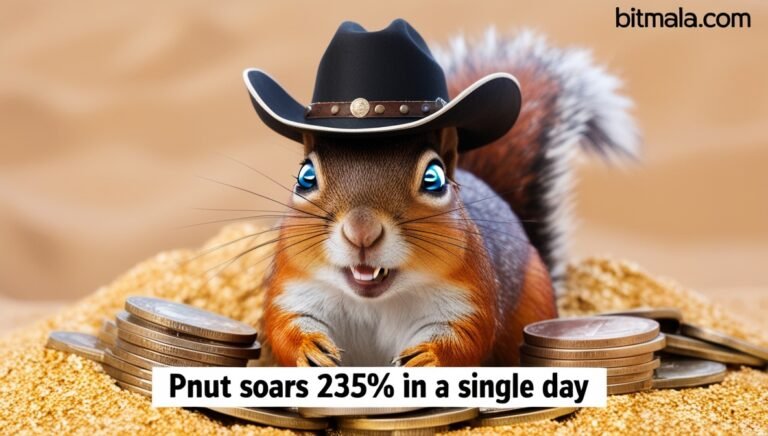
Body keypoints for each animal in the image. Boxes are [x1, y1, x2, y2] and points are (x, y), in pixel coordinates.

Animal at [258, 29, 638, 367]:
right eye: (305, 177)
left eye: (434, 179)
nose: (361, 231)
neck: (376, 301)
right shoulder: (294, 289)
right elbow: (282, 326)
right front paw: (309, 346)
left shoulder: (469, 296)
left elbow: (469, 336)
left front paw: (428, 355)